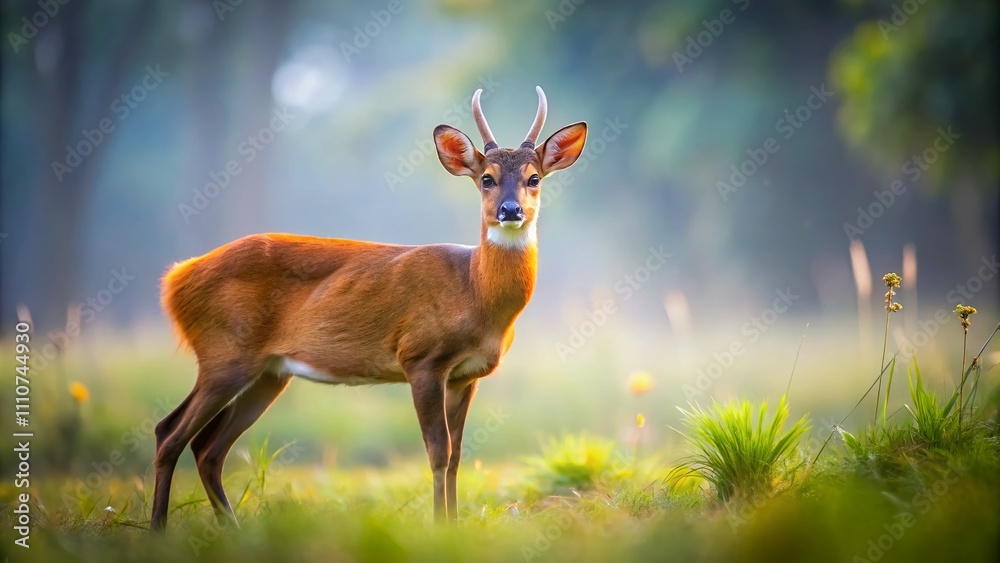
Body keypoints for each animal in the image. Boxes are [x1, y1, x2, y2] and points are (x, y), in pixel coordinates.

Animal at [150, 86, 587, 530]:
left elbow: (457, 457)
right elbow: (438, 452)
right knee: (170, 432)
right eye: (486, 179)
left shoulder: (466, 376)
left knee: (207, 448)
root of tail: (176, 278)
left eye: (534, 178)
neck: (473, 291)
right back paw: (158, 530)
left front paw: (453, 526)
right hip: (224, 353)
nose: (510, 210)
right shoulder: (421, 358)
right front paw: (438, 528)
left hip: (268, 372)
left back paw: (228, 528)